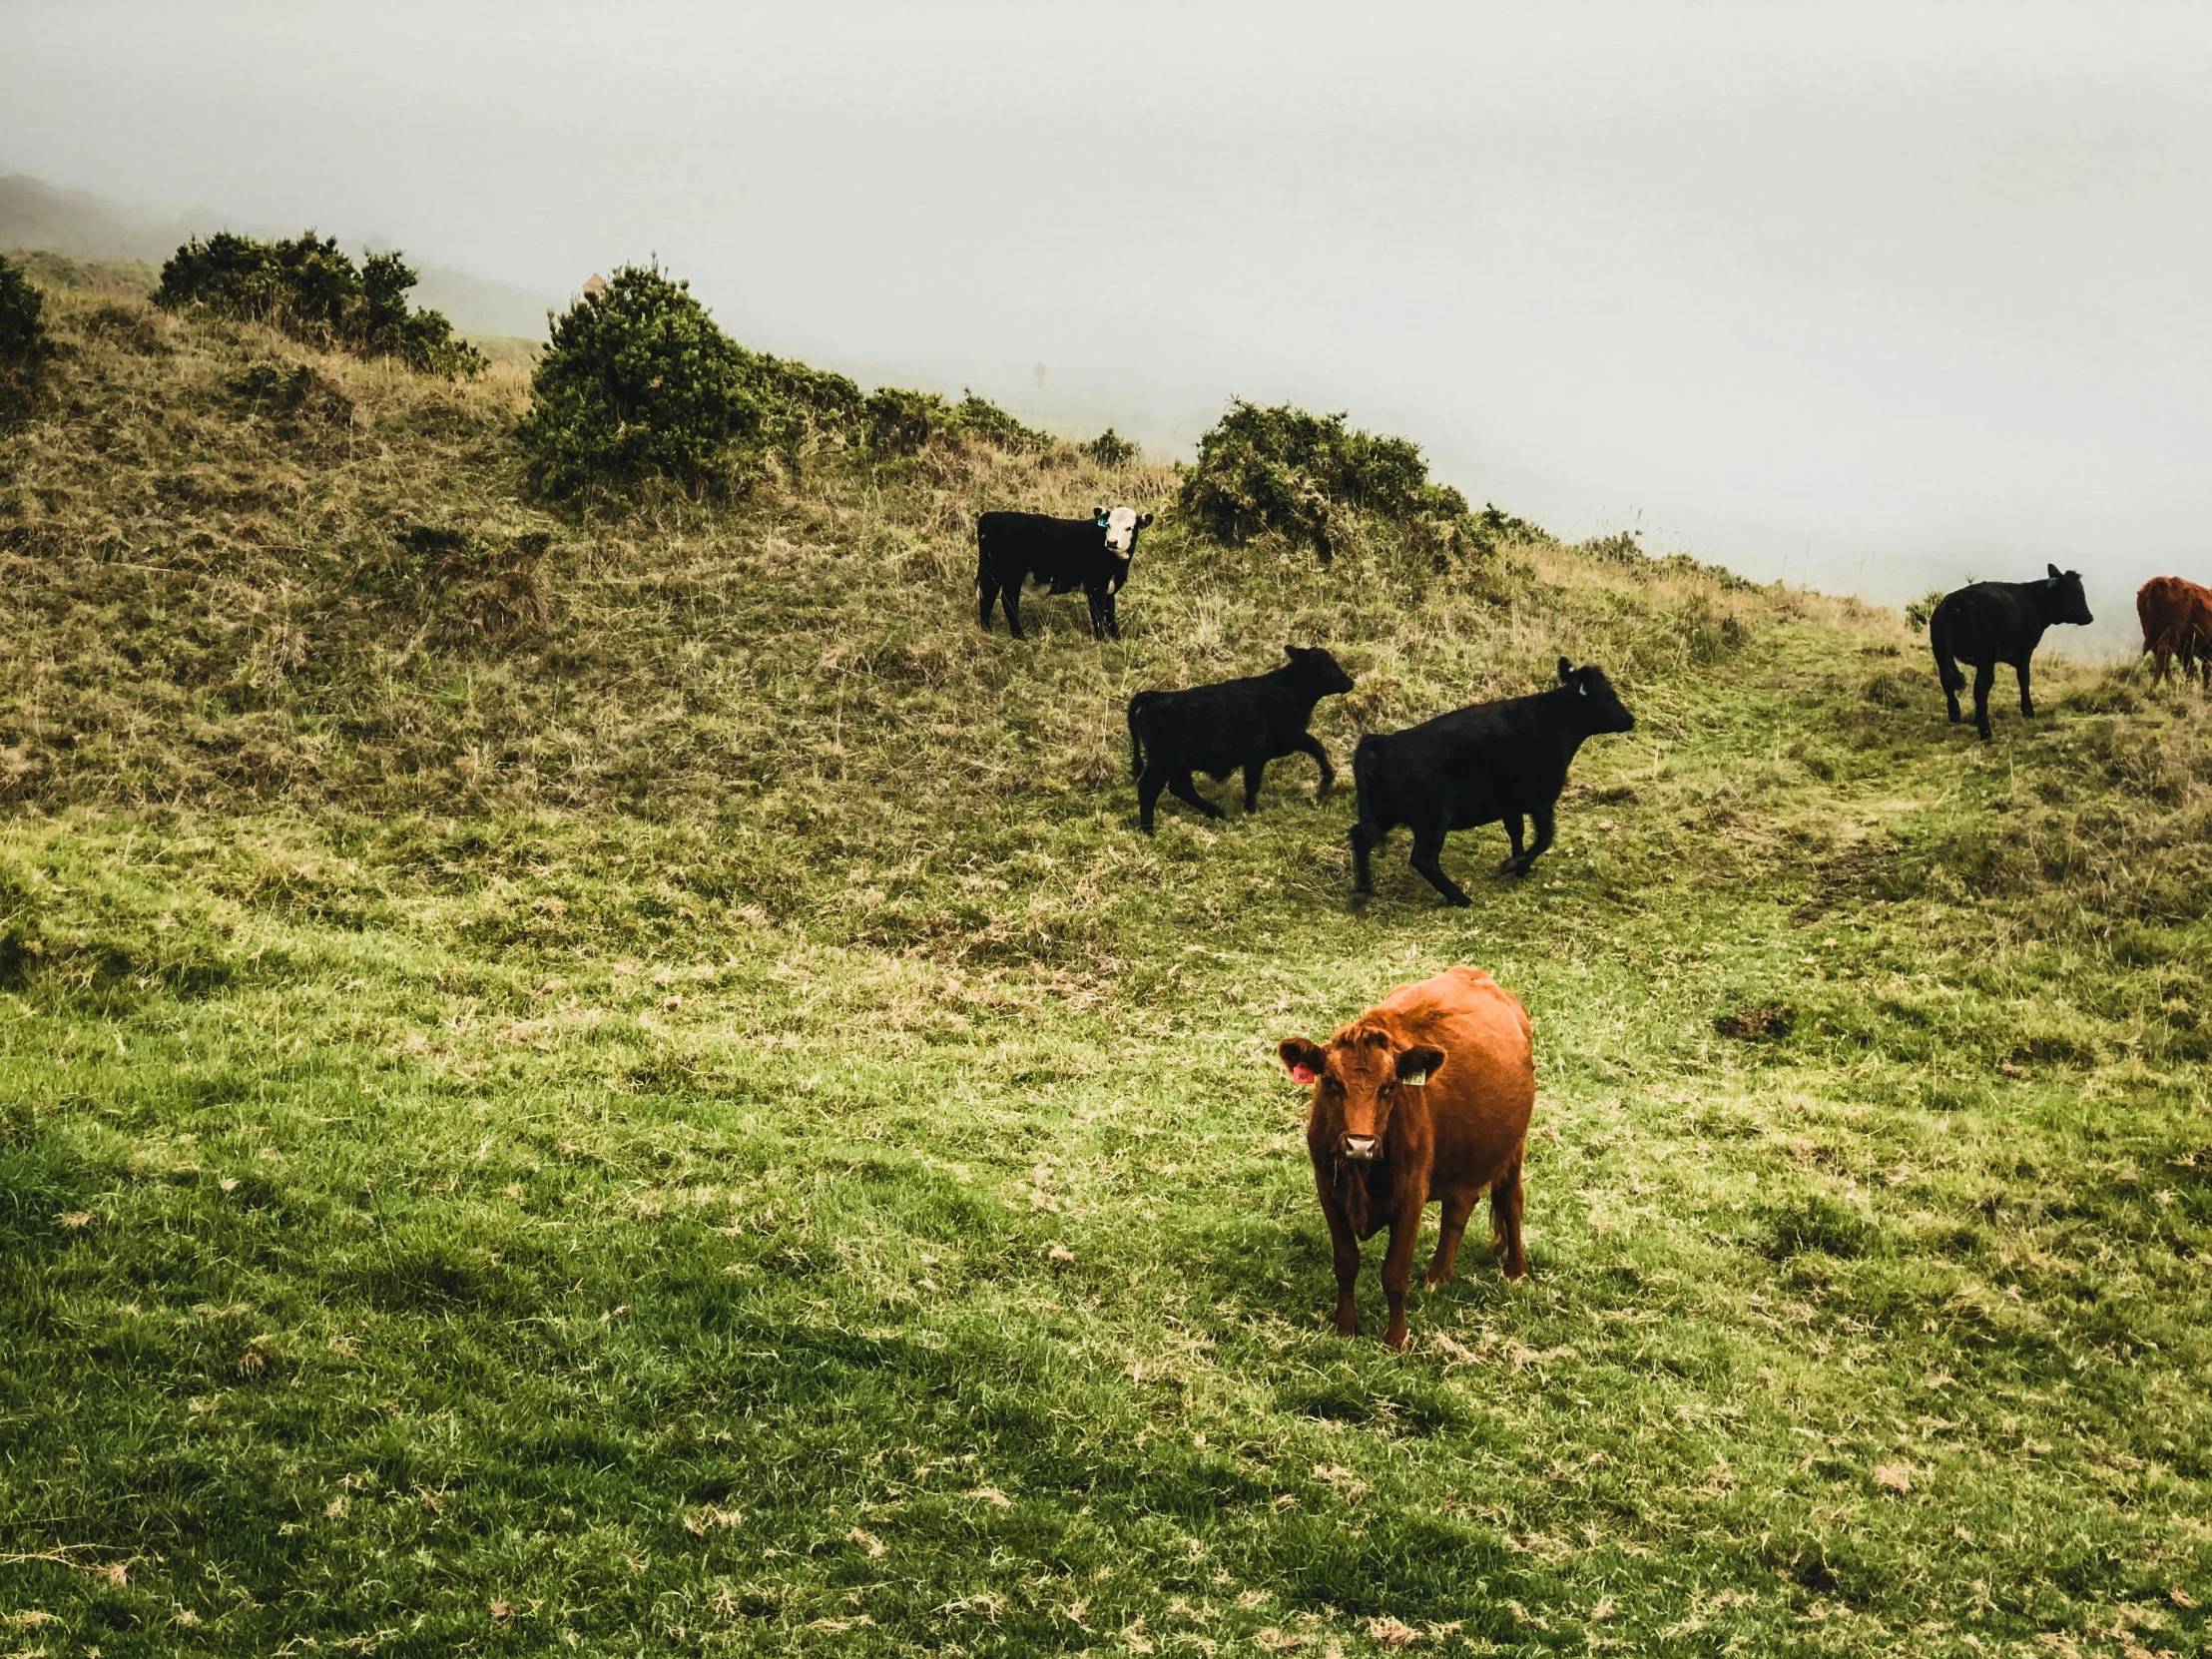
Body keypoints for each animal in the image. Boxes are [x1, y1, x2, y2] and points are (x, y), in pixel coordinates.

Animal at [981, 504, 1159, 641]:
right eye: (1108, 525)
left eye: (1130, 528)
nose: (1112, 542)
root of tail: (992, 516)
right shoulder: (1096, 586)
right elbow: (1098, 614)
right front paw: (1102, 641)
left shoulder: (1109, 588)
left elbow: (1110, 614)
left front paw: (1117, 639)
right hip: (1012, 575)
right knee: (1008, 601)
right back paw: (1021, 638)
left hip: (990, 570)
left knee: (987, 594)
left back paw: (986, 630)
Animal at [1132, 646, 1354, 831]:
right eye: (1330, 664)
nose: (1350, 682)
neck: (1288, 689)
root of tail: (1156, 696)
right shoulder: (1289, 738)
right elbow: (1316, 746)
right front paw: (1327, 777)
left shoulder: (1257, 757)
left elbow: (1251, 783)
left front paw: (1249, 810)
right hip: (1165, 761)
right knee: (1149, 787)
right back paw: (1148, 830)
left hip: (1179, 764)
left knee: (1181, 788)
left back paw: (1217, 812)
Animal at [1283, 968, 1539, 1354]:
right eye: (1329, 1082)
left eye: (1390, 1086)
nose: (1359, 1145)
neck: (1363, 1174)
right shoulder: (1328, 1191)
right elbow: (1346, 1263)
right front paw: (1344, 1326)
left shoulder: (1410, 1198)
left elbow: (1394, 1274)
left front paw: (1396, 1338)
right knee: (1459, 1208)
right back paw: (1438, 1277)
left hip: (1513, 1146)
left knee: (1511, 1201)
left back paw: (1515, 1270)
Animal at [1336, 654, 1636, 910]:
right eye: (1610, 696)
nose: (1630, 720)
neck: (1553, 722)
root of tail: (1381, 742)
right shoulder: (1541, 800)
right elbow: (1544, 838)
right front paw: (1513, 865)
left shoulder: (1511, 805)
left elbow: (1518, 833)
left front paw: (1521, 867)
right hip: (1432, 820)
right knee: (1422, 859)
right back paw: (1460, 897)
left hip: (1385, 814)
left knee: (1361, 836)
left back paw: (1364, 889)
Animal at [1929, 566, 2096, 739]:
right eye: (2074, 593)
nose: (2089, 617)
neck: (2035, 601)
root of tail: (1954, 602)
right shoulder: (2025, 650)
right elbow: (2024, 678)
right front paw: (2028, 712)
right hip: (1985, 658)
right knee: (1981, 687)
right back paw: (1985, 732)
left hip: (1940, 651)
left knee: (1946, 679)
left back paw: (1955, 715)